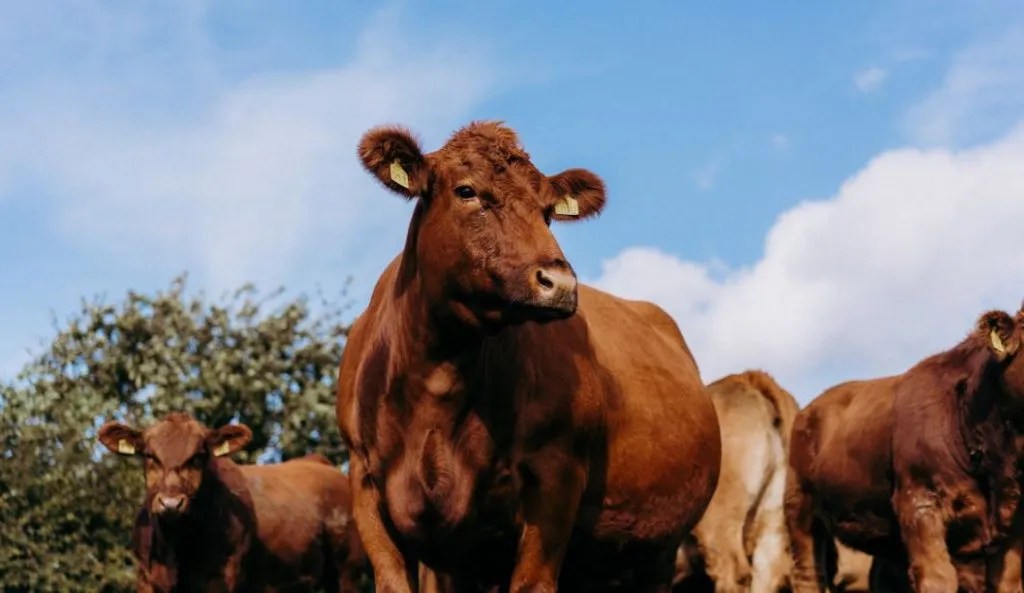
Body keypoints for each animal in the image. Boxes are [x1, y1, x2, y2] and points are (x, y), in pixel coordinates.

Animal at [98, 413, 368, 593]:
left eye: (198, 456)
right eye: (150, 455)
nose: (171, 503)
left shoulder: (224, 578)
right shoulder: (147, 579)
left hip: (348, 571)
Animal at [336, 120, 721, 593]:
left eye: (548, 212)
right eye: (467, 191)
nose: (559, 283)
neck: (437, 383)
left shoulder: (555, 478)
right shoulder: (367, 485)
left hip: (657, 553)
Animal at [785, 305, 1024, 593]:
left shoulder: (1012, 522)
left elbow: (1009, 581)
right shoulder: (918, 501)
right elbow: (938, 577)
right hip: (800, 507)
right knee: (808, 573)